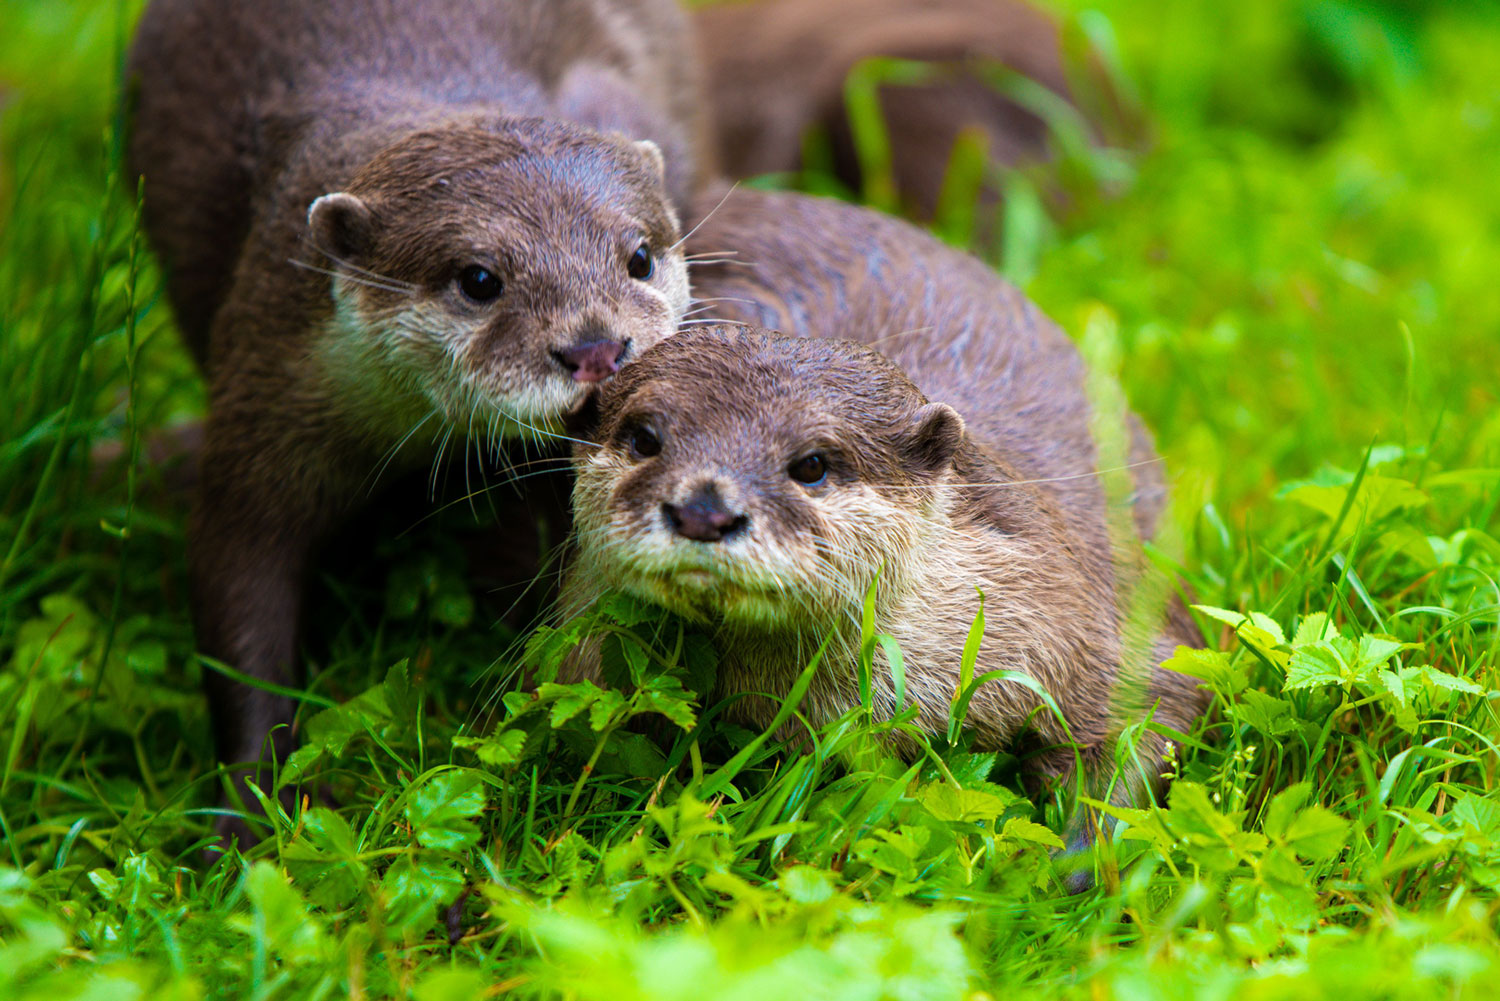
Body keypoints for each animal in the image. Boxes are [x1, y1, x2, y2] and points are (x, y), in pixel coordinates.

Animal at [124, 0, 702, 828]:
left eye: (640, 257)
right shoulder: (264, 383)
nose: (596, 347)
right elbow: (238, 580)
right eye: (480, 278)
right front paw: (254, 806)